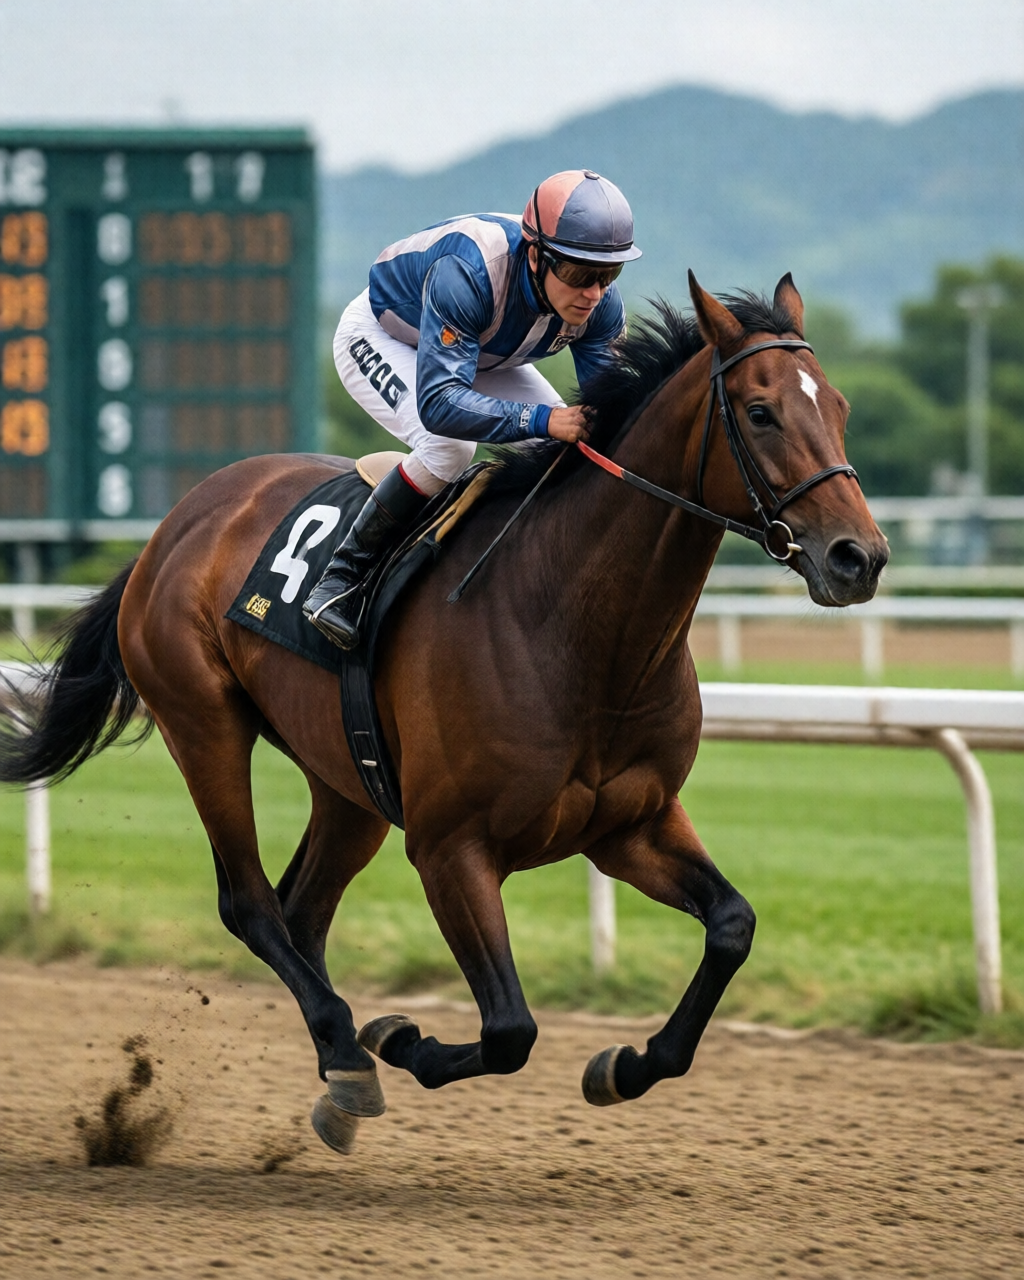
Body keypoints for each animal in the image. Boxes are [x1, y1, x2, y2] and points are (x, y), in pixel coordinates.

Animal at [0, 274, 887, 1154]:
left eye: (840, 405)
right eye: (761, 411)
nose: (860, 557)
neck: (576, 630)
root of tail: (174, 526)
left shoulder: (630, 825)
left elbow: (731, 925)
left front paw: (625, 1064)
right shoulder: (449, 847)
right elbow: (510, 1029)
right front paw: (401, 1040)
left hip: (347, 779)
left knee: (301, 911)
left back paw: (339, 1062)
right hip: (203, 723)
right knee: (251, 903)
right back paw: (348, 1054)